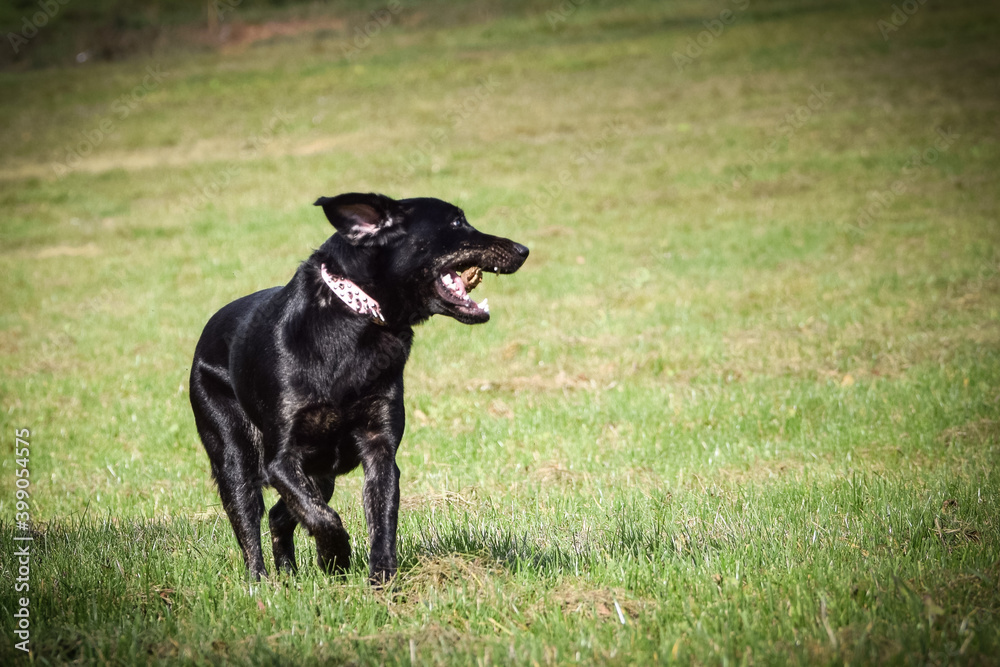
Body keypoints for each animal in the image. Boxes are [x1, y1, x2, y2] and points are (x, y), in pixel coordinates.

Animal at [190, 190, 528, 580]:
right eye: (457, 222)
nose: (523, 249)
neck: (359, 320)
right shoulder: (282, 460)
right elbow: (323, 518)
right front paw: (335, 557)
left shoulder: (380, 449)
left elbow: (379, 521)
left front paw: (380, 579)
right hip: (235, 458)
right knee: (250, 527)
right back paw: (261, 583)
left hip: (322, 473)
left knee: (279, 515)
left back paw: (289, 577)